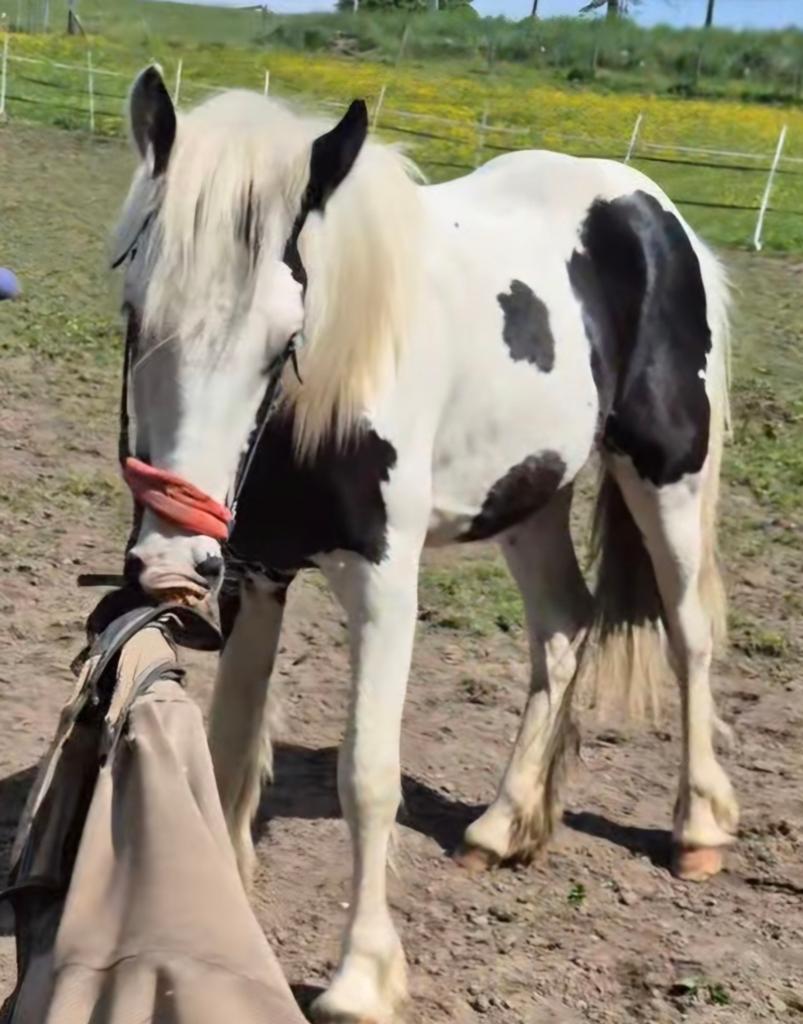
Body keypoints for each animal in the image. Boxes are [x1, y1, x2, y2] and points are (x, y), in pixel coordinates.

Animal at [113, 66, 738, 1024]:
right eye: (136, 311)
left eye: (284, 337)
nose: (172, 565)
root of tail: (655, 214)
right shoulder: (256, 569)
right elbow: (227, 750)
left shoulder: (382, 581)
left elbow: (368, 772)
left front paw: (362, 977)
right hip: (528, 496)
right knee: (564, 627)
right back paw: (501, 827)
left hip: (668, 473)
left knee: (688, 636)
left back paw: (696, 829)